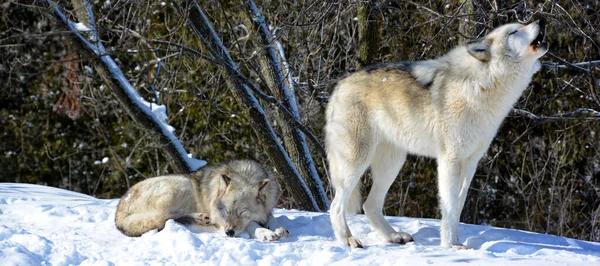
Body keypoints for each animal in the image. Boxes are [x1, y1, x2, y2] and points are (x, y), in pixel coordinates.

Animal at [116, 159, 290, 242]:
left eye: (242, 212)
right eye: (226, 211)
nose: (229, 232)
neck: (245, 175)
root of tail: (118, 213)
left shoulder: (268, 209)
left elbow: (272, 218)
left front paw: (280, 229)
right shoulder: (221, 220)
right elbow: (252, 225)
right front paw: (266, 233)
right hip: (181, 187)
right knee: (167, 217)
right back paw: (200, 218)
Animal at [328, 19, 548, 248]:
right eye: (514, 31)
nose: (541, 20)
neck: (484, 84)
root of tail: (339, 86)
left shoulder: (471, 162)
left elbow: (458, 206)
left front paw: (456, 241)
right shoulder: (449, 160)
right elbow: (449, 205)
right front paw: (451, 245)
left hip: (392, 164)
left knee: (370, 205)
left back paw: (394, 236)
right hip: (356, 162)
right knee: (336, 205)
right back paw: (348, 239)